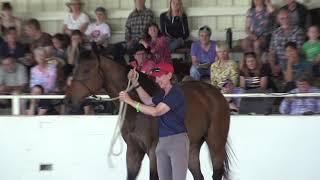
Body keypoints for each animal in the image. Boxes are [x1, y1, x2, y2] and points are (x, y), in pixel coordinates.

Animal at [63, 53, 231, 180]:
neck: (137, 115)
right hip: (192, 147)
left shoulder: (153, 152)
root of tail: (215, 93)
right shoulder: (133, 150)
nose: (68, 100)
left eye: (86, 70)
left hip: (215, 142)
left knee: (217, 172)